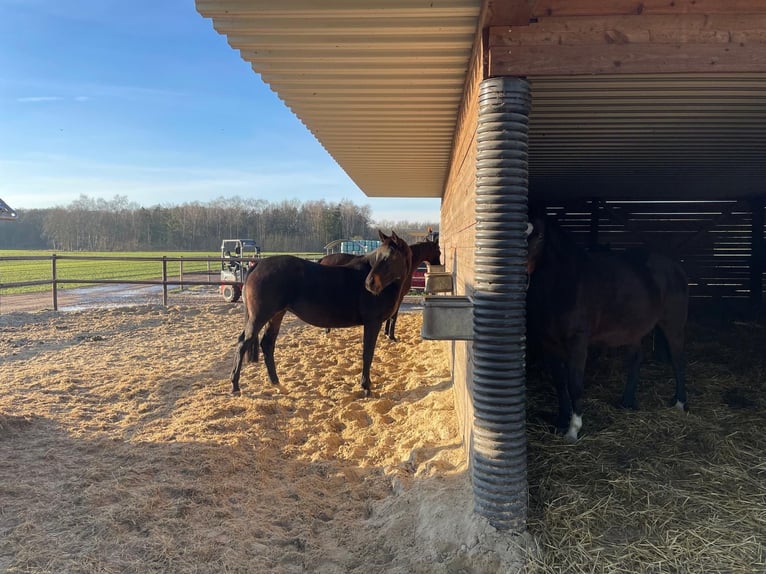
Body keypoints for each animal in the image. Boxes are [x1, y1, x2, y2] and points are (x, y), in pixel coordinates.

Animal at [231, 232, 414, 398]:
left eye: (391, 257)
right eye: (379, 256)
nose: (370, 284)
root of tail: (258, 265)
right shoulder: (372, 323)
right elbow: (367, 354)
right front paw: (366, 387)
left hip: (276, 315)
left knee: (267, 344)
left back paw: (278, 385)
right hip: (260, 316)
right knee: (243, 343)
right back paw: (235, 387)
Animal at [528, 218, 688, 444]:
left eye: (540, 236)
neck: (564, 284)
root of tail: (676, 267)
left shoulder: (577, 343)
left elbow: (574, 383)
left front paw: (573, 430)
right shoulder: (549, 344)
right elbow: (559, 383)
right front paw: (560, 423)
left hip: (672, 325)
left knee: (678, 360)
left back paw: (679, 404)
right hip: (634, 329)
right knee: (636, 359)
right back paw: (627, 402)